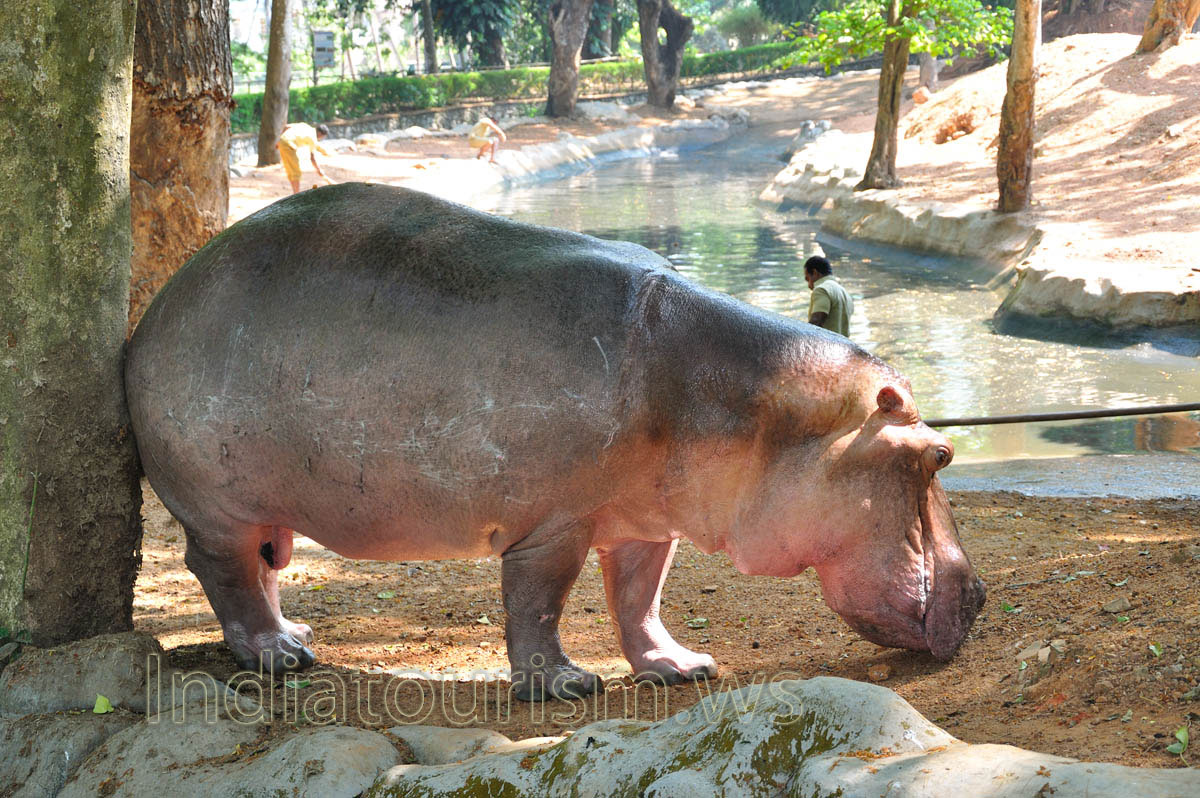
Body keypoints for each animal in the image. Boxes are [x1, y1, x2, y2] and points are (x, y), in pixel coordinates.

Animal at [125, 183, 985, 700]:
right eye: (938, 454)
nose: (978, 594)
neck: (755, 401)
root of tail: (152, 314)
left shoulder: (647, 524)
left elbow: (640, 599)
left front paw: (680, 667)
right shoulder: (554, 525)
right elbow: (539, 603)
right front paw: (568, 684)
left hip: (270, 505)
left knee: (267, 565)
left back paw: (298, 635)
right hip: (219, 503)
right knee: (225, 572)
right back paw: (278, 656)